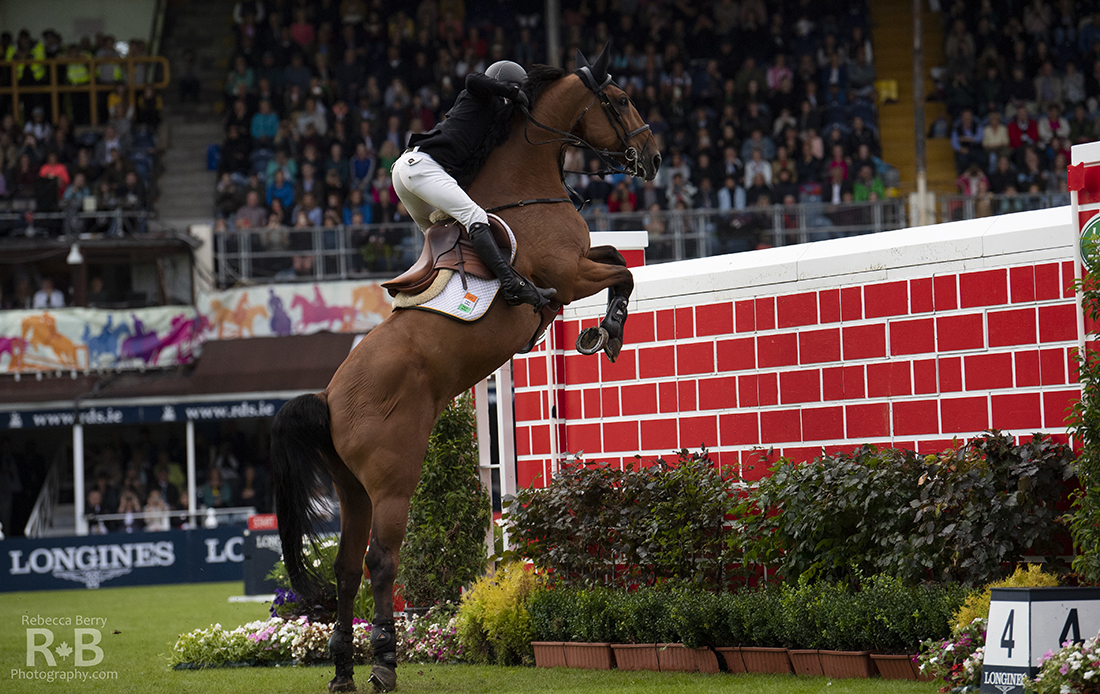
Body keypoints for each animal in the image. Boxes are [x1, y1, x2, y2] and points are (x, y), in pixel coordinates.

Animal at [272, 45, 660, 693]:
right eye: (623, 99)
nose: (652, 157)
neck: (525, 188)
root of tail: (327, 399)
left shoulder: (582, 262)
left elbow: (615, 258)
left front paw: (602, 329)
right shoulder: (569, 273)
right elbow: (622, 272)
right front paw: (604, 331)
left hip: (352, 490)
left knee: (348, 567)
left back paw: (343, 671)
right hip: (393, 480)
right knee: (381, 561)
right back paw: (383, 663)